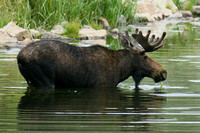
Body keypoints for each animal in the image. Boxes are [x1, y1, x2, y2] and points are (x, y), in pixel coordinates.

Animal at [17, 29, 167, 89]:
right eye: (144, 56)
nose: (163, 72)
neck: (121, 71)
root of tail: (19, 58)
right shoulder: (102, 85)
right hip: (44, 81)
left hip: (31, 81)